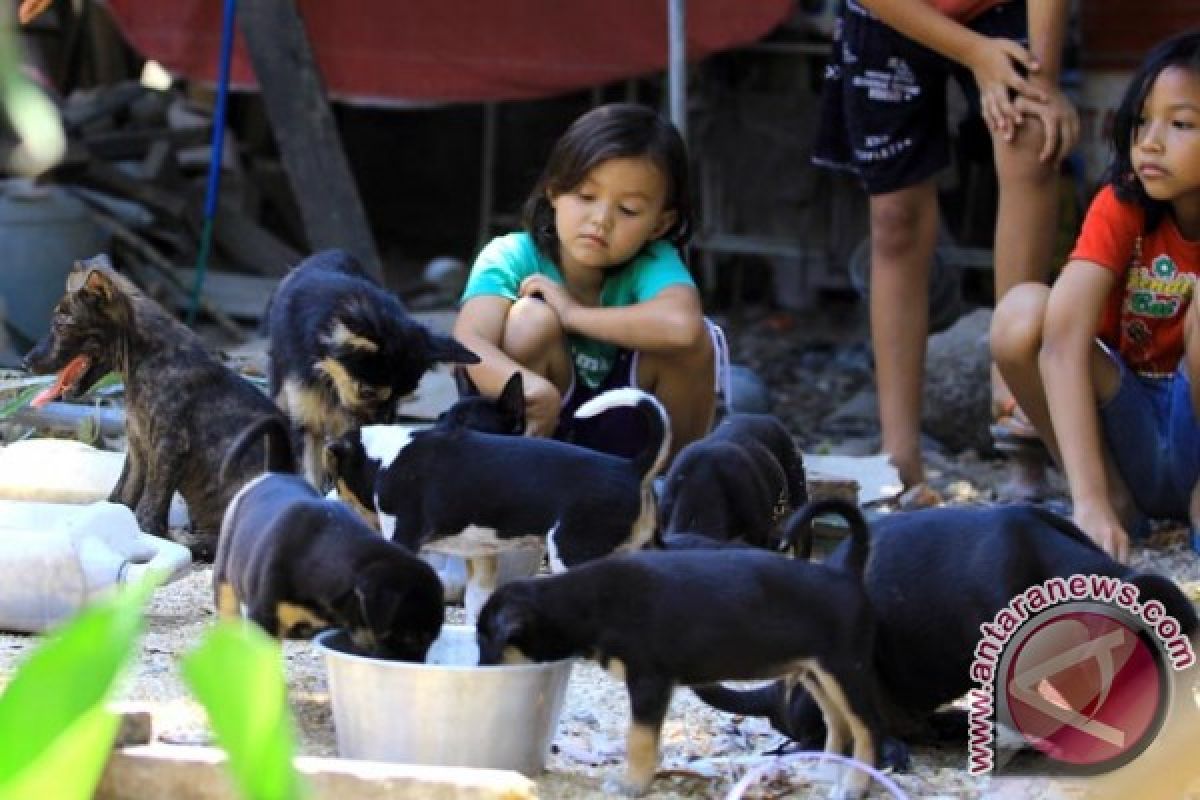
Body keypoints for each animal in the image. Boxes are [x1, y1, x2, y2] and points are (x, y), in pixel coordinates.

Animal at [22, 260, 288, 561]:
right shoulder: (138, 445)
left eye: (61, 325)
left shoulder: (169, 445)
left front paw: (149, 533)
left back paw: (189, 539)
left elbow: (151, 502)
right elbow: (123, 493)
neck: (144, 358)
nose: (25, 362)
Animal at [475, 496, 883, 796]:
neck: (587, 604)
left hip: (845, 671)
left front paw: (631, 786)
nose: (480, 670)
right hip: (815, 674)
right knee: (838, 724)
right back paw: (828, 774)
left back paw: (855, 787)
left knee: (866, 729)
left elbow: (639, 740)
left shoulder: (648, 682)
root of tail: (847, 571)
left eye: (486, 641)